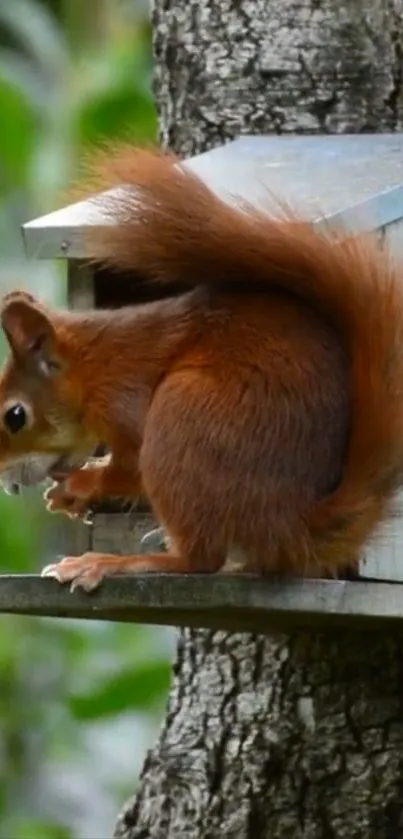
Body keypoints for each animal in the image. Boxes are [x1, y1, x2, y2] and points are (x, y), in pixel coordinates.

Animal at [0, 144, 403, 592]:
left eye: (15, 416)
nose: (7, 484)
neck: (94, 368)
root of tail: (290, 525)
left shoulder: (126, 399)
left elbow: (131, 470)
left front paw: (82, 484)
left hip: (183, 418)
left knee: (199, 559)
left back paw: (112, 562)